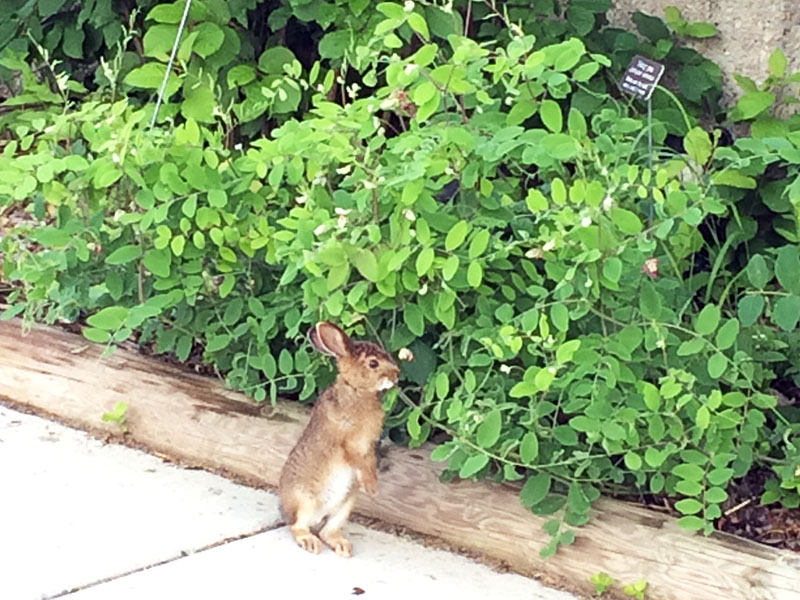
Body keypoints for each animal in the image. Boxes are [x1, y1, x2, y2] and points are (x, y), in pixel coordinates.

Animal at [278, 321, 400, 558]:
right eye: (373, 363)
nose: (396, 375)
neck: (356, 390)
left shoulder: (369, 445)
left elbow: (369, 461)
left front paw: (373, 486)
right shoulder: (347, 443)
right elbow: (357, 460)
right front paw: (371, 487)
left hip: (345, 506)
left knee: (328, 531)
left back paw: (343, 547)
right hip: (305, 501)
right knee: (299, 527)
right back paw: (311, 543)